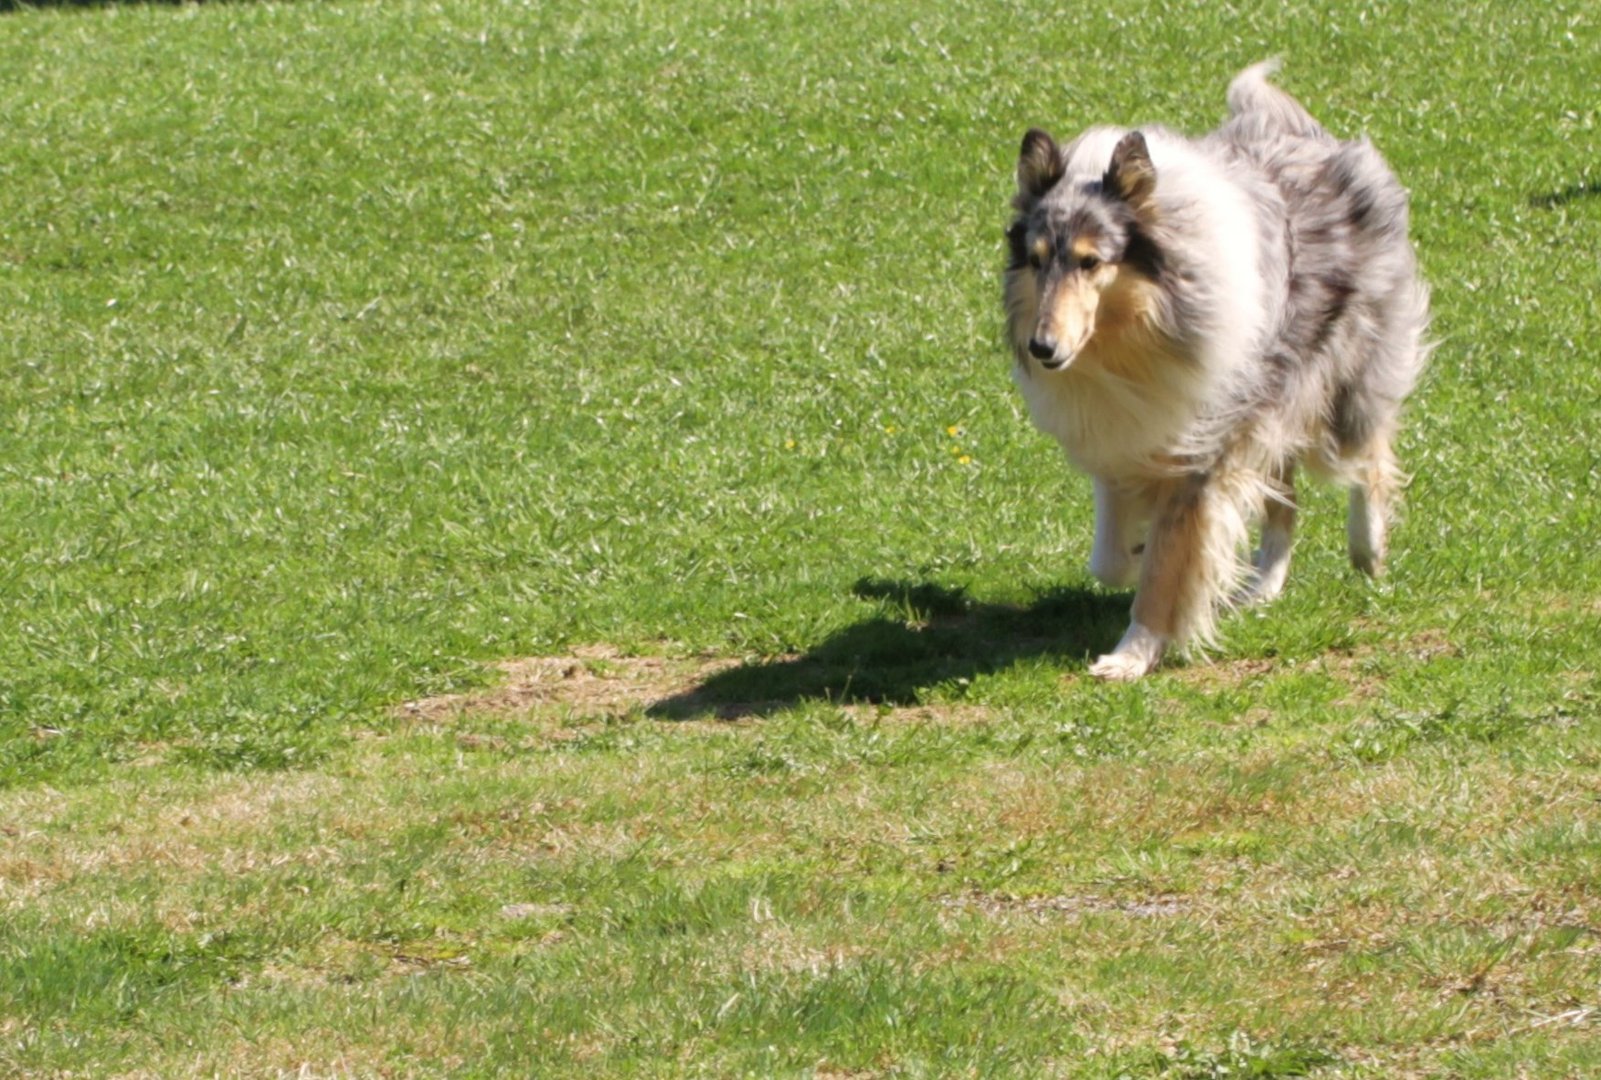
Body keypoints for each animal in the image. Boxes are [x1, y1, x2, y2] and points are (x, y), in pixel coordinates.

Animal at [1005, 63, 1434, 681]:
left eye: (1091, 262)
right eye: (1036, 260)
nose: (1041, 347)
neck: (1138, 332)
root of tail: (1310, 137)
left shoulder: (1201, 452)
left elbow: (1167, 567)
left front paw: (1132, 655)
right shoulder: (1123, 438)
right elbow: (1110, 558)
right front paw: (1136, 554)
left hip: (1340, 378)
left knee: (1368, 455)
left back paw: (1368, 550)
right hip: (1273, 403)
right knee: (1283, 497)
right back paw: (1263, 585)